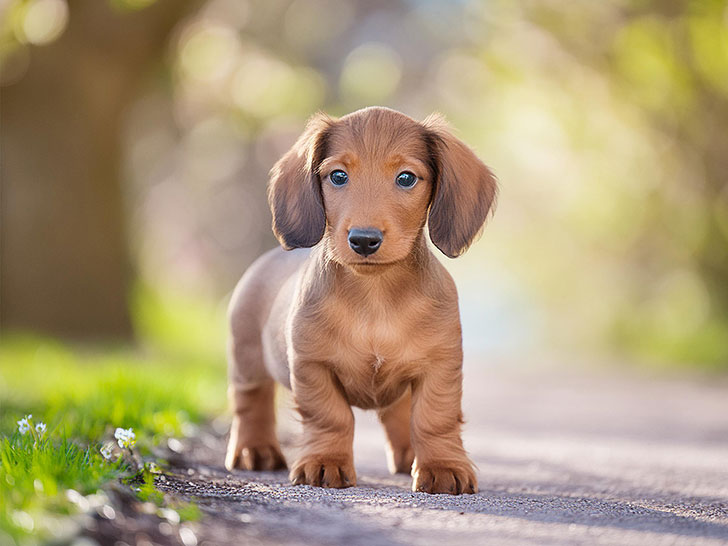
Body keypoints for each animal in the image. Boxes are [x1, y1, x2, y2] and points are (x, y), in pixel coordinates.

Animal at [225, 105, 498, 492]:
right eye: (338, 176)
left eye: (406, 178)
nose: (364, 240)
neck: (375, 296)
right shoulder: (313, 367)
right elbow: (331, 417)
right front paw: (325, 462)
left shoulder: (440, 367)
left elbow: (433, 417)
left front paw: (442, 467)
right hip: (247, 360)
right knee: (251, 403)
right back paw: (255, 450)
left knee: (397, 414)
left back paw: (408, 455)